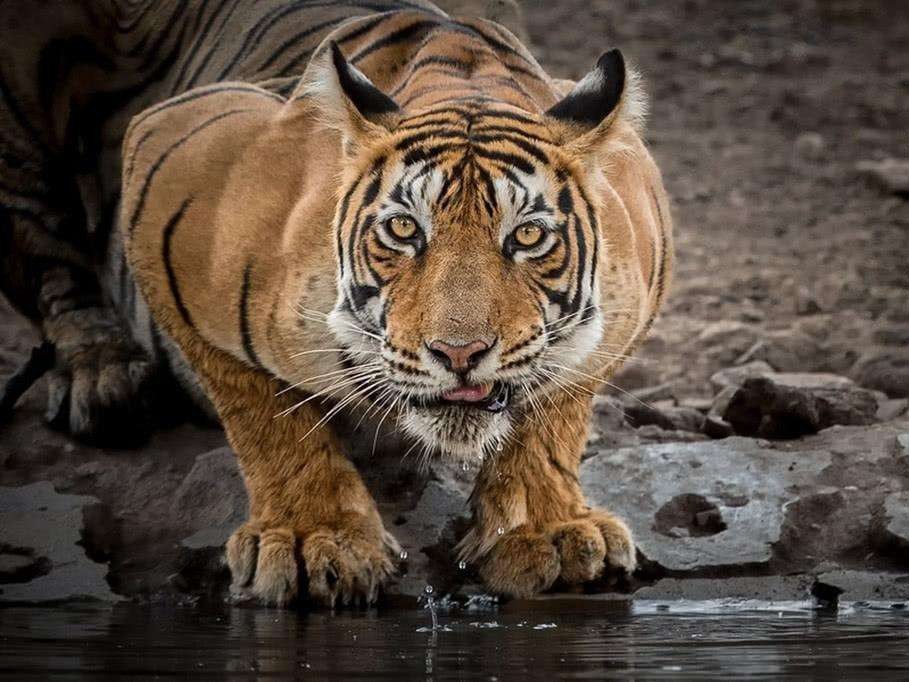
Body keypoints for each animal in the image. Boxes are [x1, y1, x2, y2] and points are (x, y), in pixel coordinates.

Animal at [0, 1, 668, 604]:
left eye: (527, 236)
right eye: (403, 229)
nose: (459, 354)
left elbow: (557, 408)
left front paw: (546, 530)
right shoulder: (177, 166)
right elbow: (262, 410)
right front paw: (311, 538)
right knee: (52, 264)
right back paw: (102, 377)